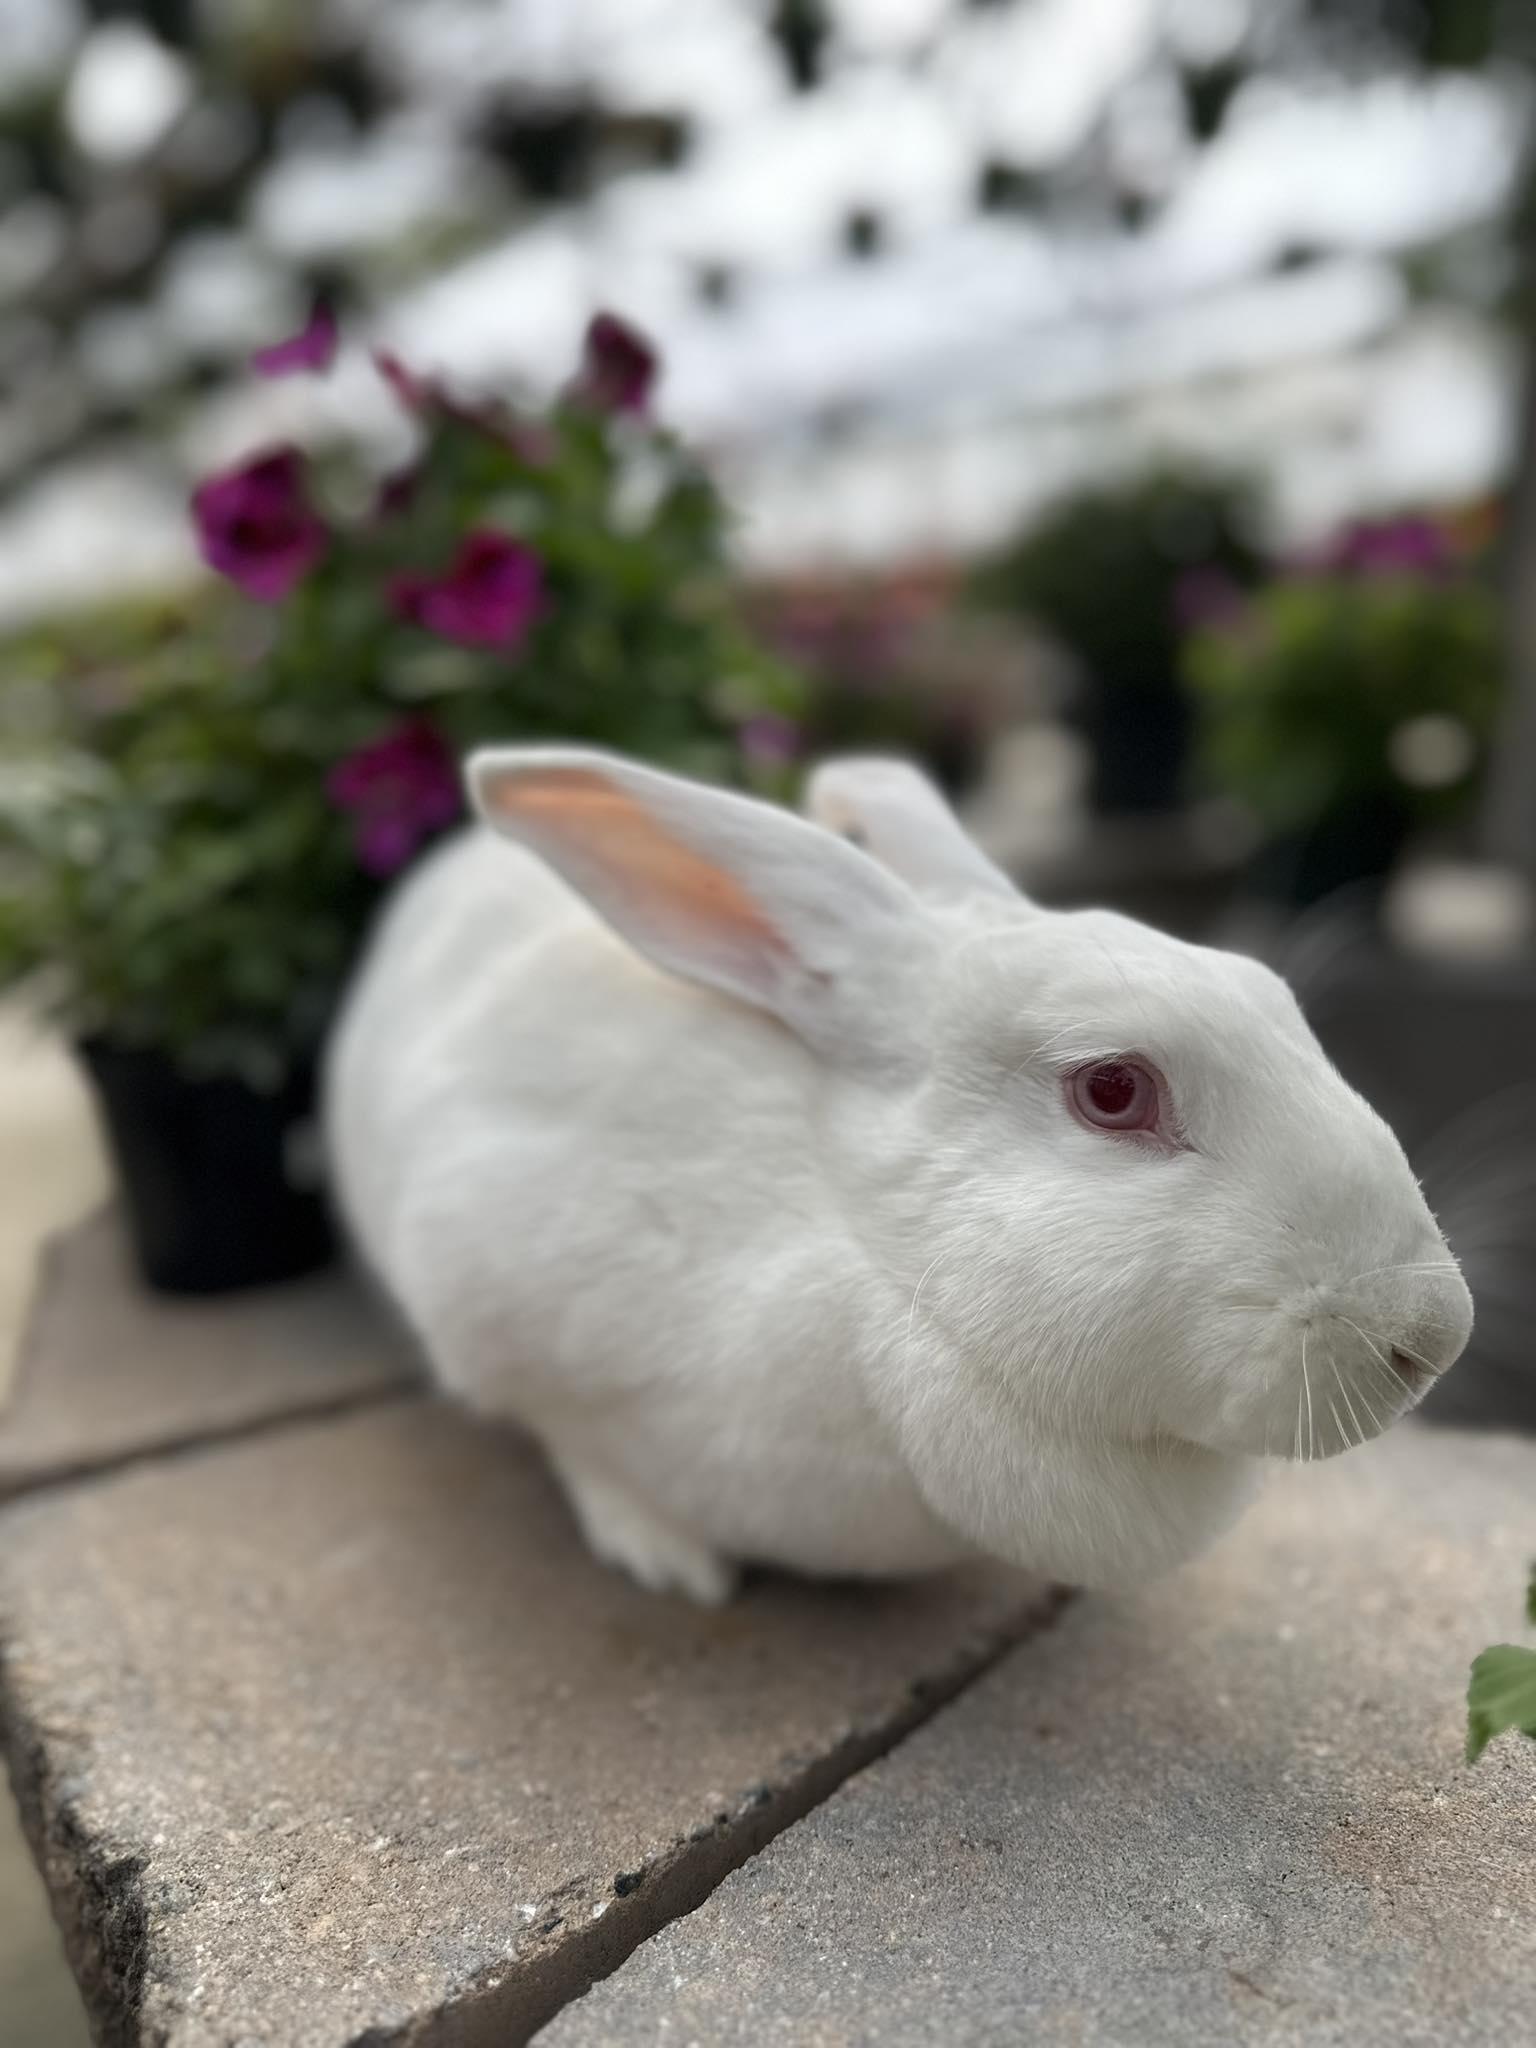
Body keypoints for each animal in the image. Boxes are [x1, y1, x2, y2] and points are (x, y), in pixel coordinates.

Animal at [323, 747, 1473, 1603]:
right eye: (1113, 1089)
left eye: (1274, 995)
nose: (1433, 1336)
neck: (880, 1265)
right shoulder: (491, 1282)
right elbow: (573, 1441)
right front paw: (664, 1554)